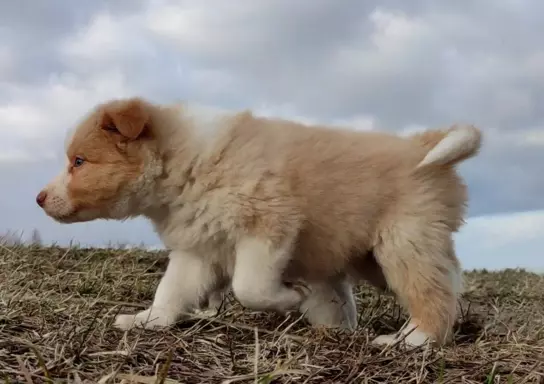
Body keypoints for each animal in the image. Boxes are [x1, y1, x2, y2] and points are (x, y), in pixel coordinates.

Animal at [37, 97, 480, 346]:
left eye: (79, 161)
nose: (38, 199)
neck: (185, 163)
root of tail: (421, 146)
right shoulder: (197, 250)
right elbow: (171, 290)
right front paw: (149, 321)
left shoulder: (267, 225)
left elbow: (248, 286)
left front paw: (291, 297)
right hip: (373, 258)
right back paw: (339, 329)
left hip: (403, 243)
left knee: (434, 295)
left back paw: (411, 341)